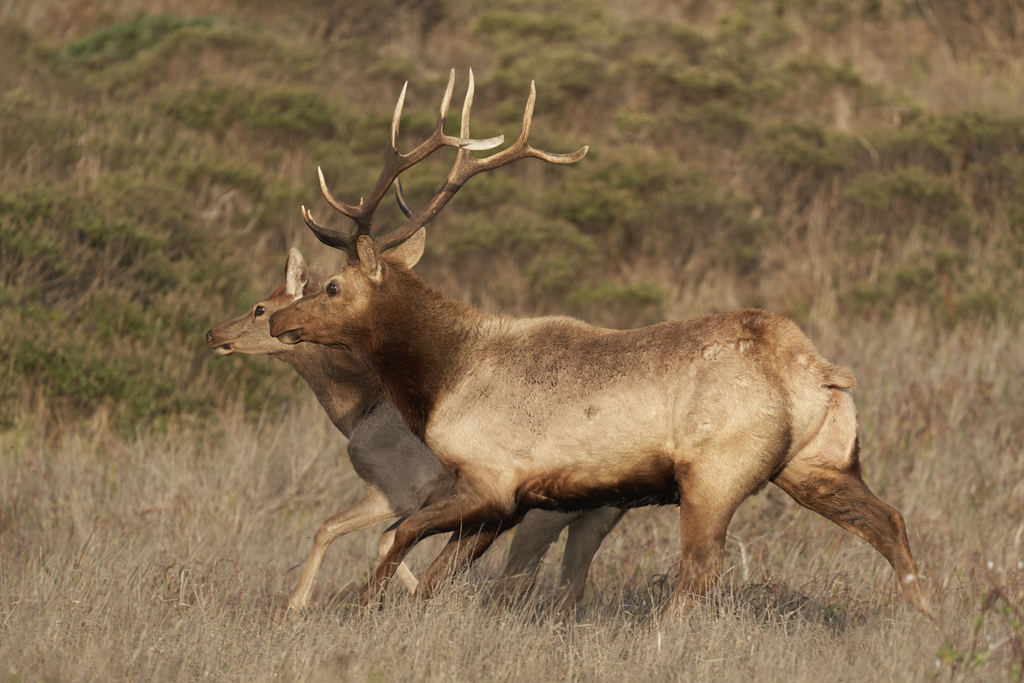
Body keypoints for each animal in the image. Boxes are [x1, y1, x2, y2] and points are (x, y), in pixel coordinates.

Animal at [204, 70, 623, 613]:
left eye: (259, 307)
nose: (214, 333)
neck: (359, 410)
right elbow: (386, 543)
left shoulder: (397, 487)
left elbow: (342, 531)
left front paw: (299, 606)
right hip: (595, 510)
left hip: (542, 507)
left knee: (522, 573)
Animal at [268, 71, 931, 617]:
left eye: (332, 286)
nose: (278, 321)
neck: (438, 378)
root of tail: (817, 371)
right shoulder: (512, 502)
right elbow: (436, 578)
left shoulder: (491, 479)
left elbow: (396, 540)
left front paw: (361, 610)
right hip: (818, 462)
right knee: (890, 522)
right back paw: (922, 625)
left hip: (716, 471)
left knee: (700, 571)